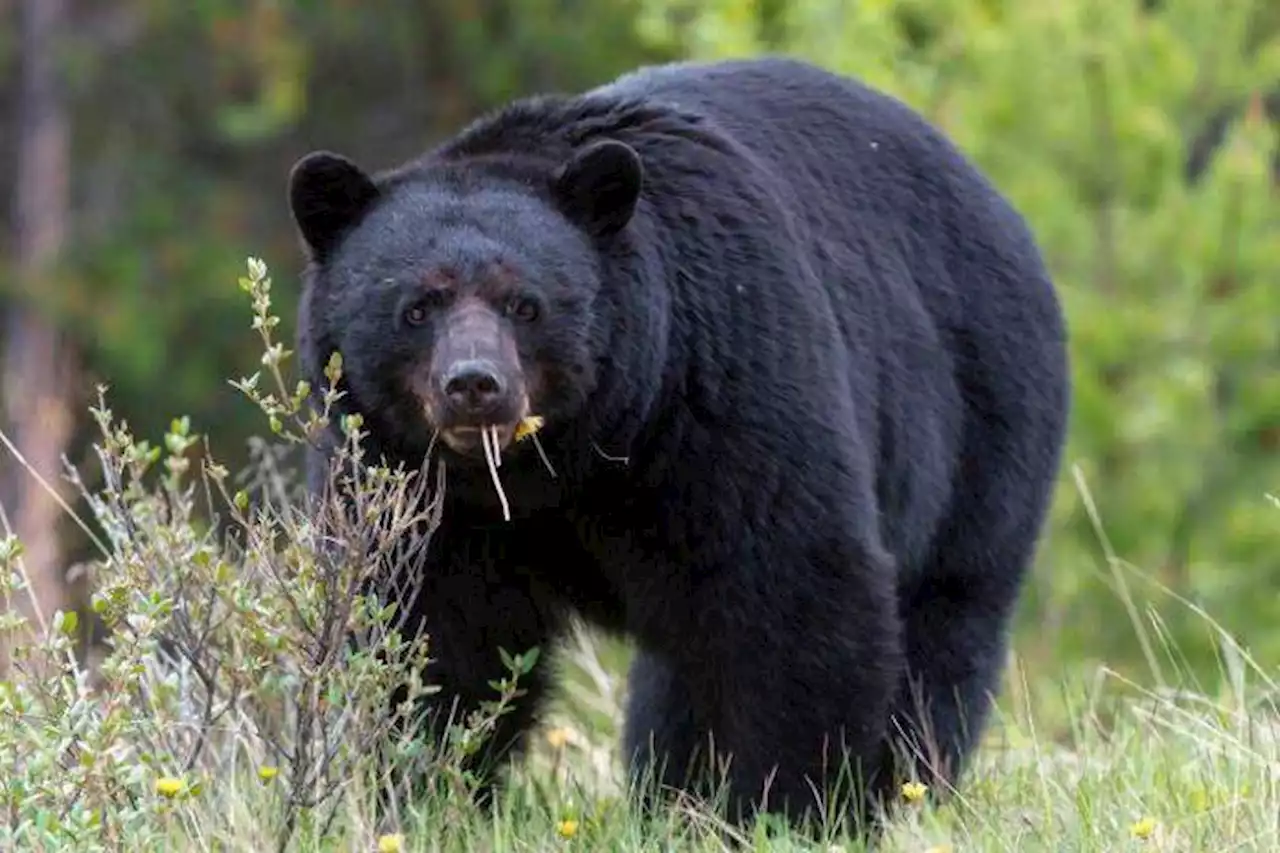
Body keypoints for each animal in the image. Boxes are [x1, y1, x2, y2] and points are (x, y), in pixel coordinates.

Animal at [288, 56, 1070, 824]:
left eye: (526, 304)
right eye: (418, 305)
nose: (475, 384)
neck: (566, 457)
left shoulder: (718, 386)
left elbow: (789, 587)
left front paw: (784, 804)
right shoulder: (406, 478)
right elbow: (429, 626)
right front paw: (424, 789)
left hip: (981, 416)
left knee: (945, 621)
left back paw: (898, 788)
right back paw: (672, 793)